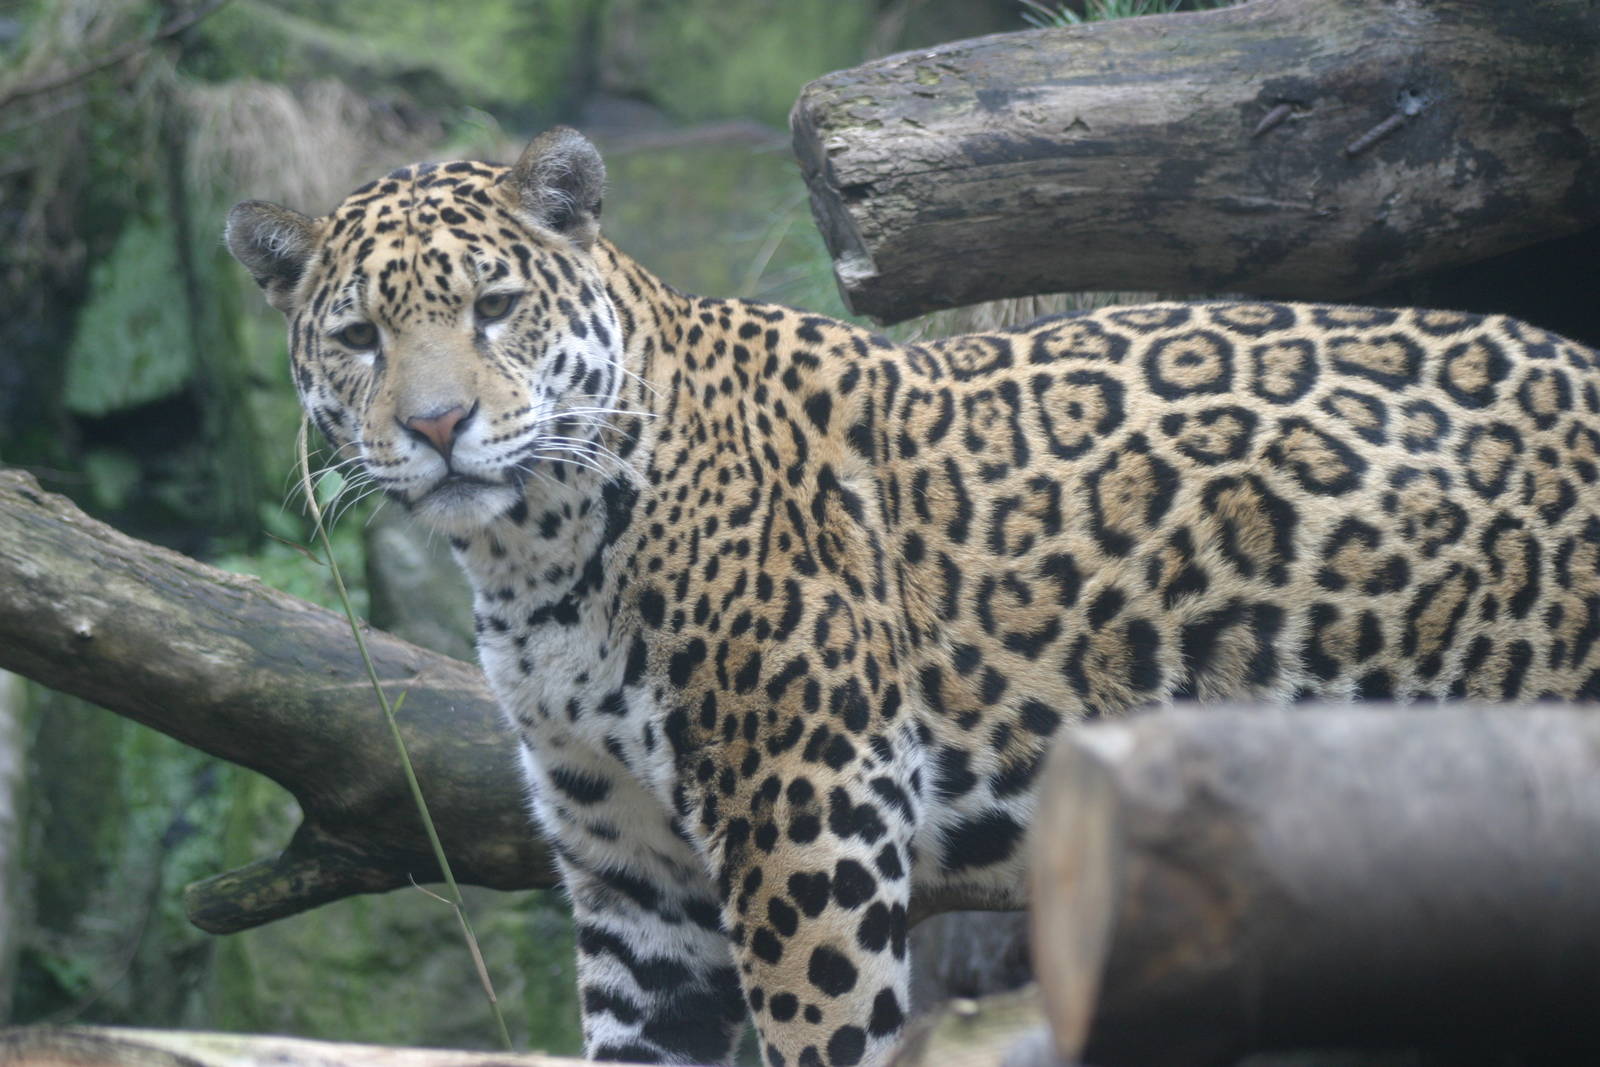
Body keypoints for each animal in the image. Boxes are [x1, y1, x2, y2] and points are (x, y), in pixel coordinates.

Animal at [226, 126, 1600, 1067]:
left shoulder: (805, 811)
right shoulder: (634, 881)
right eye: (357, 336)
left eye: (495, 307)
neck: (535, 556)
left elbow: (822, 1029)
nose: (436, 426)